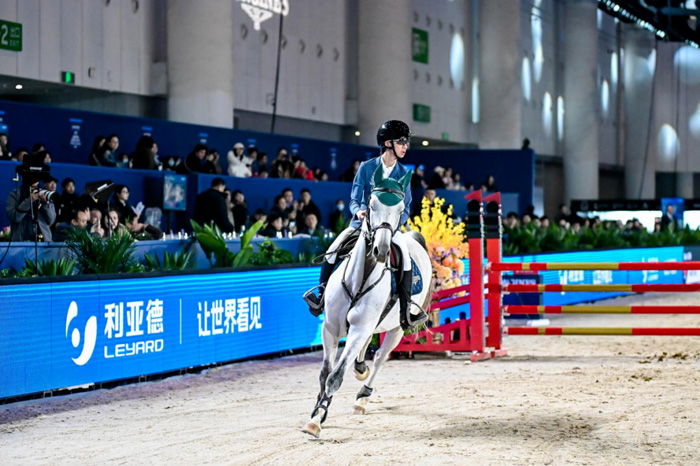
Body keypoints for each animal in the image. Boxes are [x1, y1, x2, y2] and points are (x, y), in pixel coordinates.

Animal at [301, 166, 433, 438]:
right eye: (371, 205)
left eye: (400, 209)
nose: (381, 251)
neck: (360, 277)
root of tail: (414, 238)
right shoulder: (330, 328)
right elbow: (324, 374)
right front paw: (318, 411)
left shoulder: (360, 329)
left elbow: (335, 377)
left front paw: (317, 420)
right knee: (365, 354)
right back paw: (360, 369)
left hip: (396, 328)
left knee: (381, 356)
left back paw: (363, 397)